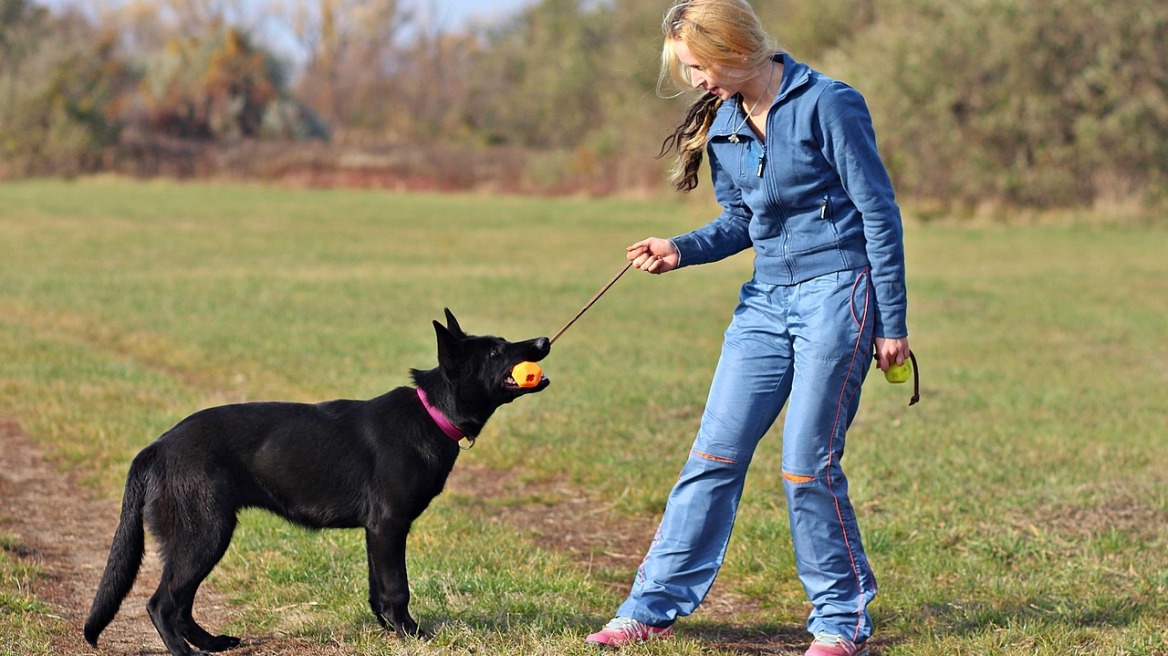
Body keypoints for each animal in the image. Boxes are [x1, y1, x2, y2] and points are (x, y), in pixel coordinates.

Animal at [84, 308, 548, 648]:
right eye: (496, 352)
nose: (543, 341)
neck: (432, 412)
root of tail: (158, 446)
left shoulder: (376, 533)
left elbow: (378, 590)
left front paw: (388, 631)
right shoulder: (389, 527)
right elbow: (397, 588)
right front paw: (411, 635)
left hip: (203, 538)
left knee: (180, 606)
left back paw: (213, 644)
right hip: (204, 535)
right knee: (163, 604)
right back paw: (187, 652)